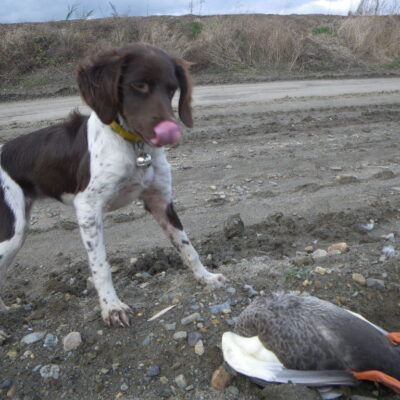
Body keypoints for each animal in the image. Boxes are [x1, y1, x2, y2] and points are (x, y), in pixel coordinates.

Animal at [0, 43, 225, 324]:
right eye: (139, 85)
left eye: (172, 88)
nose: (170, 130)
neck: (134, 147)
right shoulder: (87, 207)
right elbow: (101, 265)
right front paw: (112, 307)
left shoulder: (160, 201)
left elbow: (187, 247)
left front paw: (206, 277)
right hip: (12, 230)